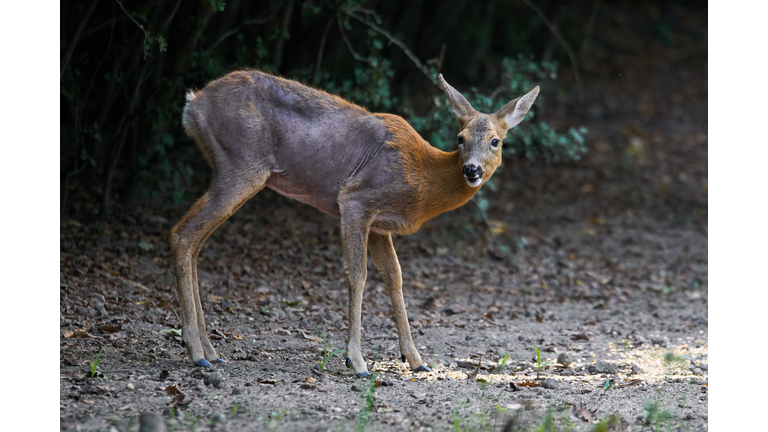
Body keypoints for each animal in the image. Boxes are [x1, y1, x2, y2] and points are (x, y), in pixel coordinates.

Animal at [170, 70, 536, 374]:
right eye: (460, 138)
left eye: (495, 141)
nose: (471, 169)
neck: (420, 178)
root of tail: (193, 105)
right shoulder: (356, 200)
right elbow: (358, 275)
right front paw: (357, 361)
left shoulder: (379, 225)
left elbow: (395, 277)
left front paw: (415, 359)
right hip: (242, 164)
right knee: (182, 234)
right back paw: (197, 352)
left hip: (231, 167)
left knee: (192, 241)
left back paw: (210, 351)